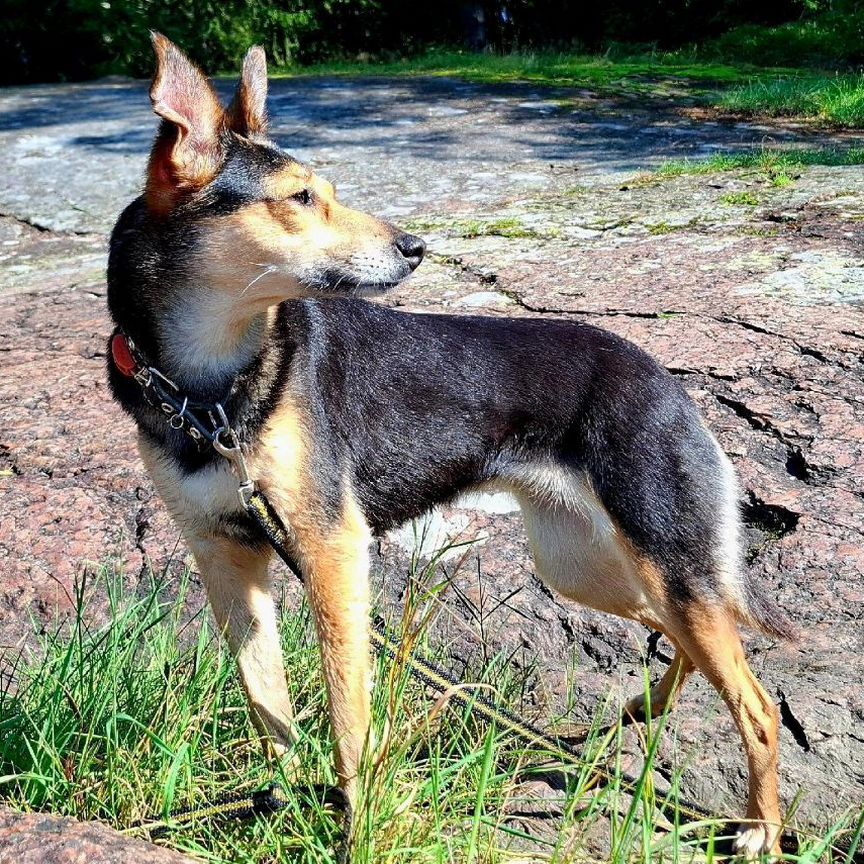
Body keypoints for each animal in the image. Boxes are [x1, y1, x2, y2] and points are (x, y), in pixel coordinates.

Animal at [106, 33, 788, 856]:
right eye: (301, 198)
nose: (416, 247)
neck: (209, 391)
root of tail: (659, 373)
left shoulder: (332, 555)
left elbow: (349, 723)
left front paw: (355, 824)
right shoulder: (227, 563)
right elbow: (269, 708)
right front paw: (281, 804)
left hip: (663, 566)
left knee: (758, 705)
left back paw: (761, 828)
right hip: (588, 567)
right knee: (689, 646)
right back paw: (641, 714)